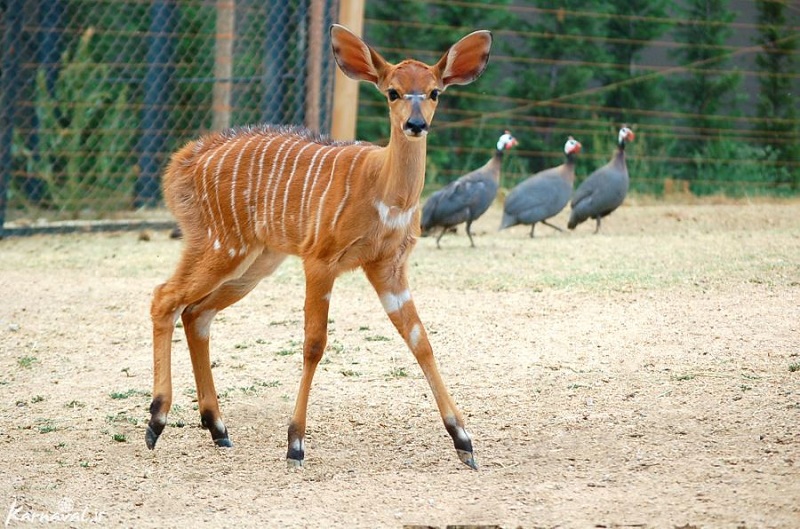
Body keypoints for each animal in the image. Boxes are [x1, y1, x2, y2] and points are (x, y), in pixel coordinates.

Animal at [145, 24, 493, 470]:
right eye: (392, 92)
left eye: (434, 92)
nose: (416, 124)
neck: (383, 189)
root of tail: (183, 162)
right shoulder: (320, 260)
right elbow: (314, 343)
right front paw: (295, 443)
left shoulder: (389, 267)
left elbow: (420, 340)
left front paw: (463, 441)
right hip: (221, 245)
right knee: (165, 298)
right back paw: (156, 421)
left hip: (255, 263)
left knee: (197, 313)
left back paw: (218, 428)